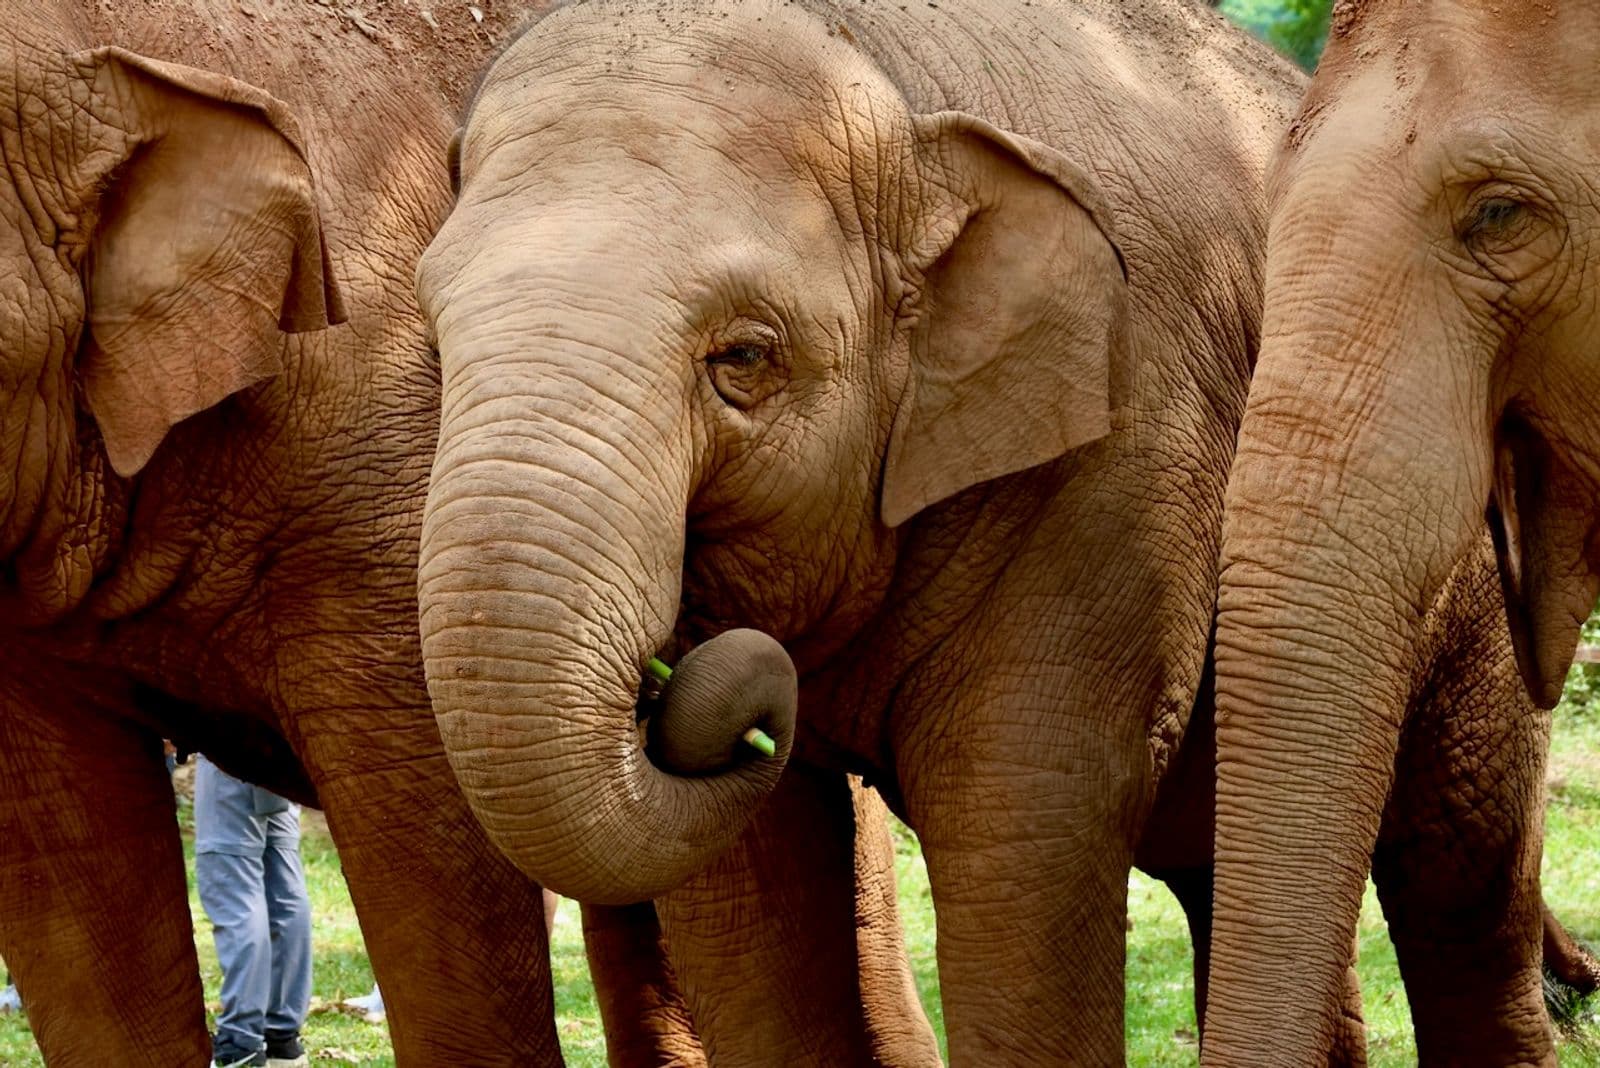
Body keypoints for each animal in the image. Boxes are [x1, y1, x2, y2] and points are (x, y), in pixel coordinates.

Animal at [413, 0, 1309, 1061]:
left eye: (744, 357)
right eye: (435, 339)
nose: (686, 660)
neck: (892, 83)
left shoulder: (1126, 456)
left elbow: (1020, 827)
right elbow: (751, 892)